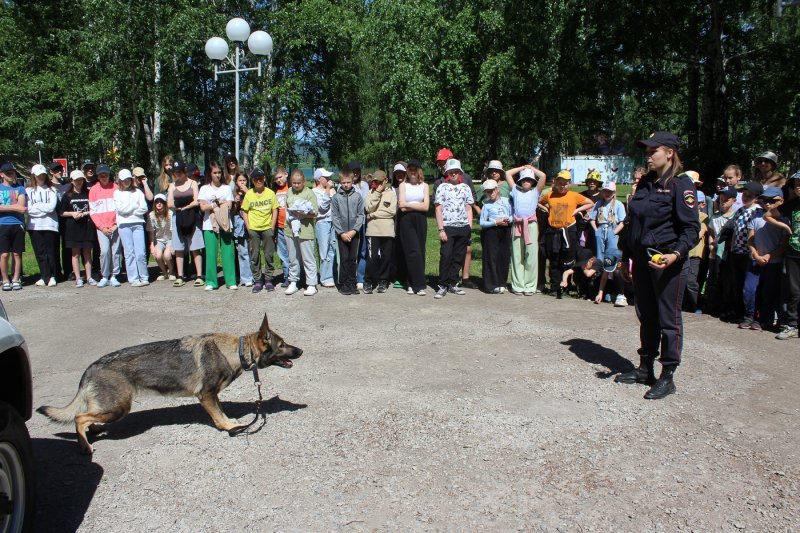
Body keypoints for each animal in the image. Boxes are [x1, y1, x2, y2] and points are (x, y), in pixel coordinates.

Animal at [38, 314, 300, 450]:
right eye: (282, 344)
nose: (301, 351)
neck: (235, 350)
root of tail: (91, 367)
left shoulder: (213, 396)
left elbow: (222, 411)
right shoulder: (206, 396)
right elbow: (219, 417)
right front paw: (230, 427)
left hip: (110, 408)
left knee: (88, 417)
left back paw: (93, 431)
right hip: (119, 408)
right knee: (80, 418)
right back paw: (85, 444)